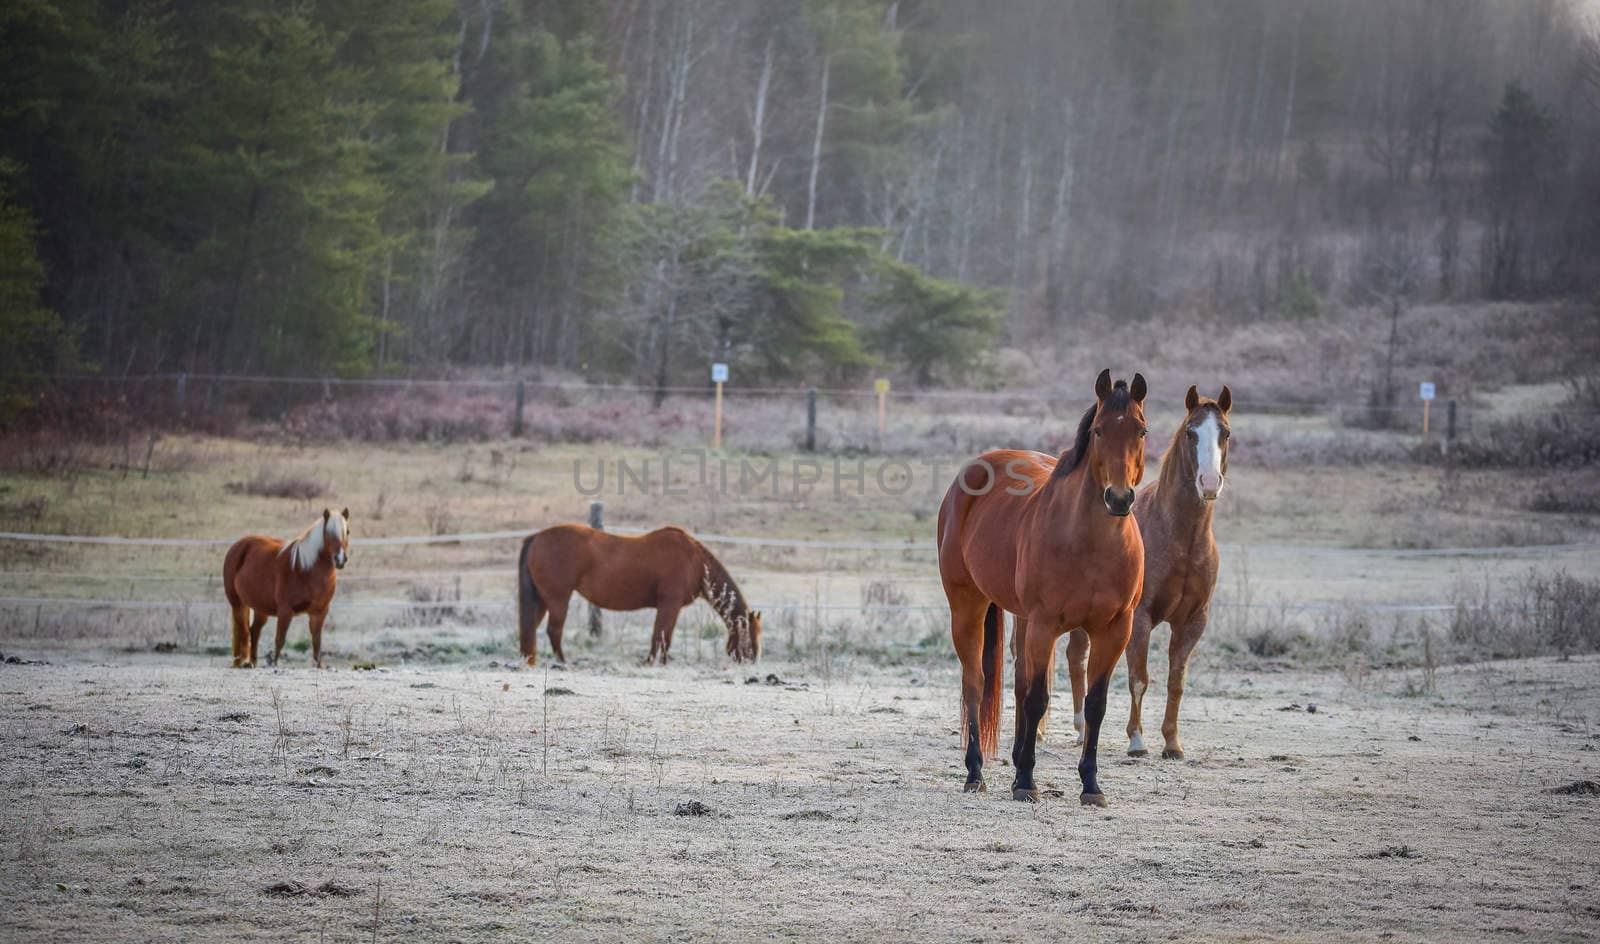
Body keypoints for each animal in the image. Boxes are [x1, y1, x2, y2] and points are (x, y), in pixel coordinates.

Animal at [222, 512, 350, 672]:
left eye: (347, 532)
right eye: (328, 533)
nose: (340, 559)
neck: (305, 569)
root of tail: (237, 546)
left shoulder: (319, 613)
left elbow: (316, 641)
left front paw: (318, 665)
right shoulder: (285, 611)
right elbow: (280, 639)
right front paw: (274, 664)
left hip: (260, 609)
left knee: (254, 631)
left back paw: (253, 662)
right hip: (237, 604)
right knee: (243, 632)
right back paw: (244, 662)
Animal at [515, 524, 758, 665]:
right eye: (752, 632)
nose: (753, 658)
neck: (695, 561)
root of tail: (536, 537)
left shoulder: (670, 607)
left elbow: (663, 637)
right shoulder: (669, 605)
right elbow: (660, 636)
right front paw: (652, 662)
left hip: (541, 600)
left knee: (531, 629)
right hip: (558, 599)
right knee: (553, 631)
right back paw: (563, 662)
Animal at [934, 369, 1152, 806]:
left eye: (1141, 430)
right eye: (1099, 430)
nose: (1119, 498)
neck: (1091, 545)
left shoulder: (1114, 630)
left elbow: (1095, 704)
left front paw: (1091, 785)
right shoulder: (1046, 624)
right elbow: (1037, 699)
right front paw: (1025, 782)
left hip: (1021, 619)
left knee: (1017, 685)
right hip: (968, 607)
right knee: (975, 684)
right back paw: (975, 772)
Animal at [1068, 384, 1228, 761]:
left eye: (1225, 433)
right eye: (1191, 433)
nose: (1209, 482)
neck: (1181, 537)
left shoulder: (1193, 621)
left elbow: (1176, 681)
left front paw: (1172, 743)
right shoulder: (1139, 617)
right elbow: (1139, 677)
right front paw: (1137, 740)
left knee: (1075, 658)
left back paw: (1081, 731)